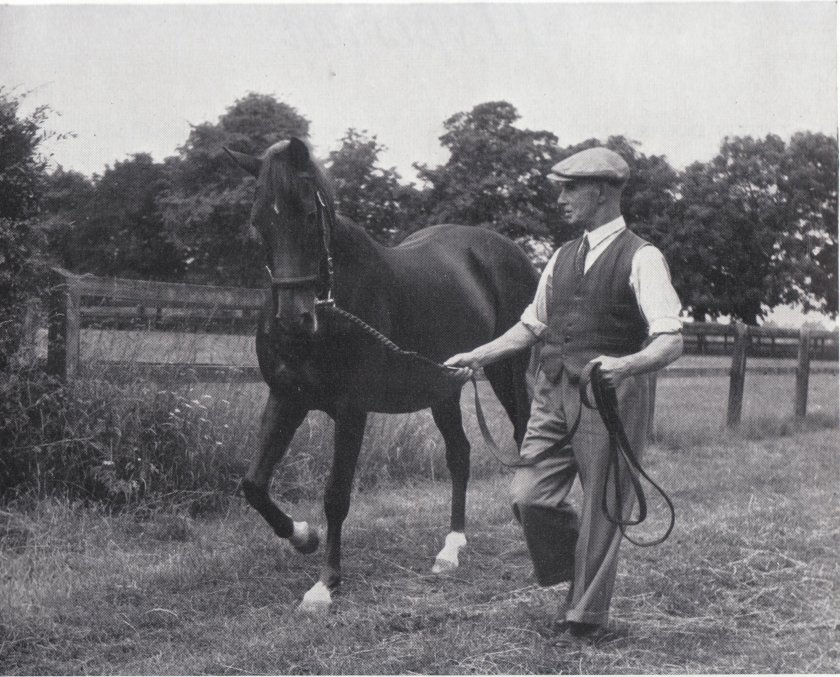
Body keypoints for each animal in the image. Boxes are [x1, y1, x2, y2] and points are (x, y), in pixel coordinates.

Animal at [225, 137, 539, 611]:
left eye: (308, 213)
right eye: (258, 221)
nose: (294, 320)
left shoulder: (351, 411)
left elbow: (336, 494)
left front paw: (326, 585)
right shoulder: (285, 398)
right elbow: (254, 484)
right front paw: (304, 537)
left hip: (506, 372)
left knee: (521, 436)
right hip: (443, 386)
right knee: (460, 455)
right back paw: (451, 548)